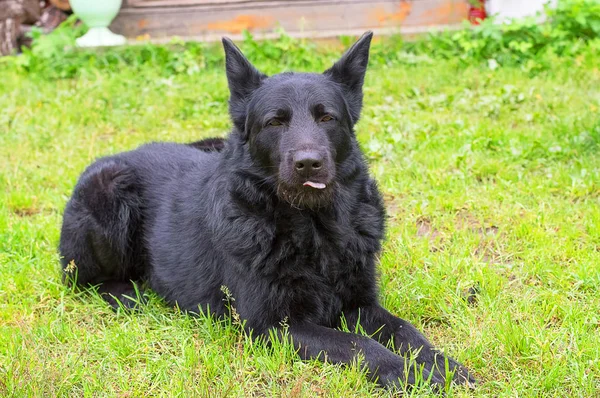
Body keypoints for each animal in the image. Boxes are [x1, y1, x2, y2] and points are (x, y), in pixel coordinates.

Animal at [59, 32, 474, 390]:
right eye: (275, 121)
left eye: (327, 118)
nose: (309, 164)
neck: (315, 231)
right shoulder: (273, 326)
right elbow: (360, 345)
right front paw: (408, 373)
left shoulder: (361, 304)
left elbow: (406, 331)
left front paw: (441, 365)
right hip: (109, 192)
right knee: (83, 281)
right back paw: (133, 295)